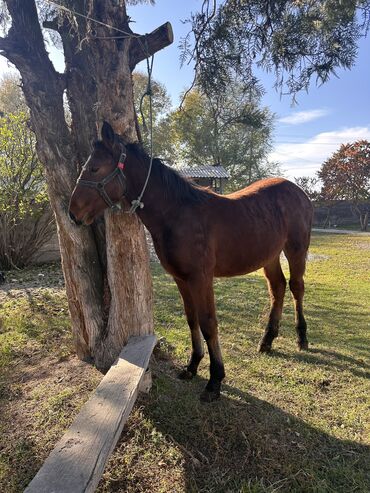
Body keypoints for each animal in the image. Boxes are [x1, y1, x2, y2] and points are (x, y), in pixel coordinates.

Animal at [69, 122, 312, 400]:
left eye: (94, 168)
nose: (72, 213)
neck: (177, 214)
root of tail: (299, 192)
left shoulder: (201, 278)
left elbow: (208, 323)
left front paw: (215, 380)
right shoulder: (181, 279)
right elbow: (192, 318)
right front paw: (192, 365)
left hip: (295, 250)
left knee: (296, 287)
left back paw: (301, 338)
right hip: (269, 256)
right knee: (278, 288)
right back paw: (267, 340)